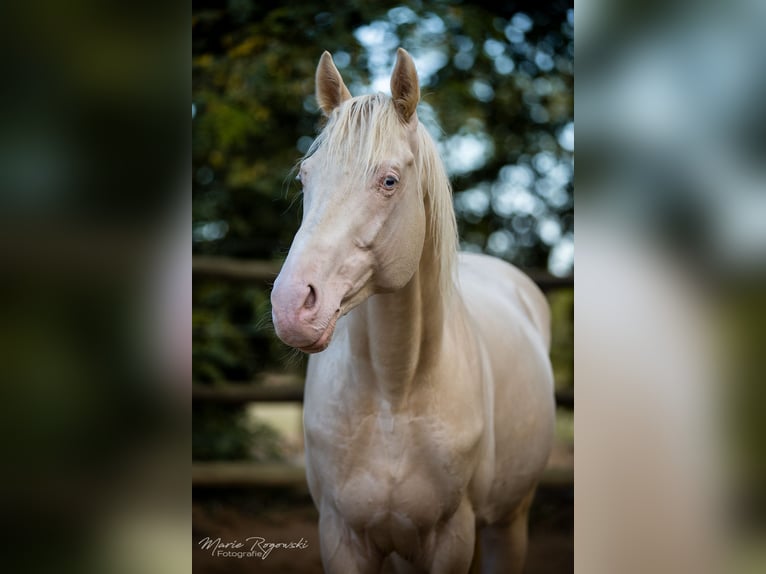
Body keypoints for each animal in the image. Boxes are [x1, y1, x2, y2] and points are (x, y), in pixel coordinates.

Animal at [271, 48, 555, 574]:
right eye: (305, 176)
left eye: (389, 181)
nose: (291, 304)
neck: (393, 395)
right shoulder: (341, 536)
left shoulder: (452, 538)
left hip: (510, 521)